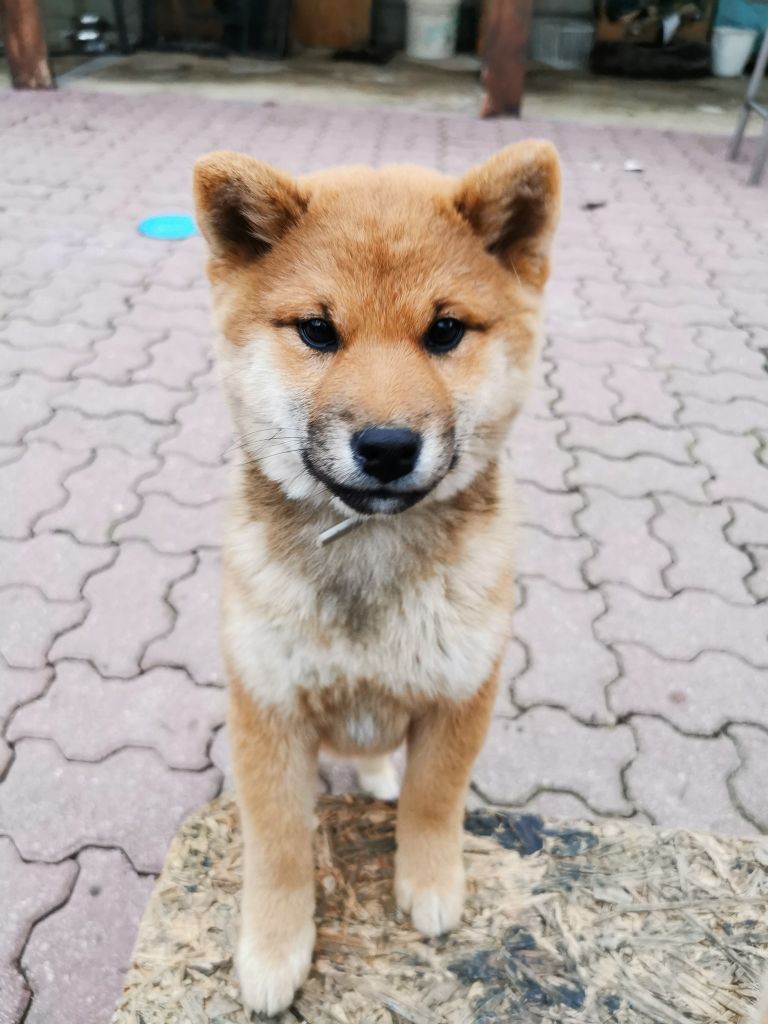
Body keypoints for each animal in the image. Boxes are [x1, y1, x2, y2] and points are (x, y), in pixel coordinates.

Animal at [192, 140, 561, 1016]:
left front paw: (429, 884)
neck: (369, 548)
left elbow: (435, 800)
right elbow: (279, 846)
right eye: (318, 331)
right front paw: (273, 949)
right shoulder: (268, 711)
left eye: (446, 330)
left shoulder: (463, 693)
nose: (388, 446)